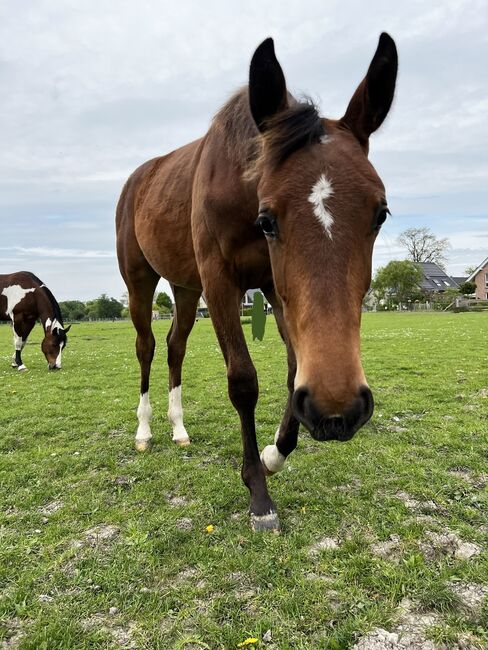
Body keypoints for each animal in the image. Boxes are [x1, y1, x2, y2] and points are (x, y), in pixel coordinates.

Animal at [116, 35, 398, 528]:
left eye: (380, 213)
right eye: (267, 220)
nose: (338, 411)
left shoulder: (273, 288)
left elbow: (292, 371)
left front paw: (272, 455)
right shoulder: (220, 284)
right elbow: (244, 382)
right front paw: (258, 492)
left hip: (185, 290)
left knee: (175, 346)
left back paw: (179, 428)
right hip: (141, 283)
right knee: (147, 347)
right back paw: (145, 431)